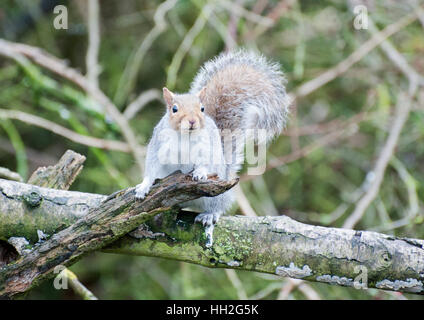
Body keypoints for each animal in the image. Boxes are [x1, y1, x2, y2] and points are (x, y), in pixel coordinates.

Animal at [136, 50, 292, 239]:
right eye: (174, 109)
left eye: (202, 109)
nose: (192, 121)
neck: (185, 137)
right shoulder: (158, 144)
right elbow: (151, 166)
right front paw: (144, 186)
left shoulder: (206, 146)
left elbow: (206, 160)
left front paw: (200, 172)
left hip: (217, 195)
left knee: (218, 206)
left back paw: (210, 214)